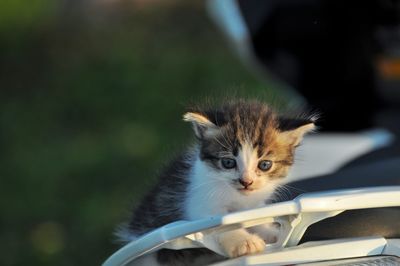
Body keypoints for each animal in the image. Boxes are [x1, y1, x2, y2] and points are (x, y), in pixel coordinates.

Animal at [119, 100, 316, 266]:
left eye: (265, 165)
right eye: (228, 162)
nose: (246, 182)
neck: (237, 196)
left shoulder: (253, 203)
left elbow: (255, 217)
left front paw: (271, 232)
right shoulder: (199, 202)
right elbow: (219, 223)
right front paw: (245, 241)